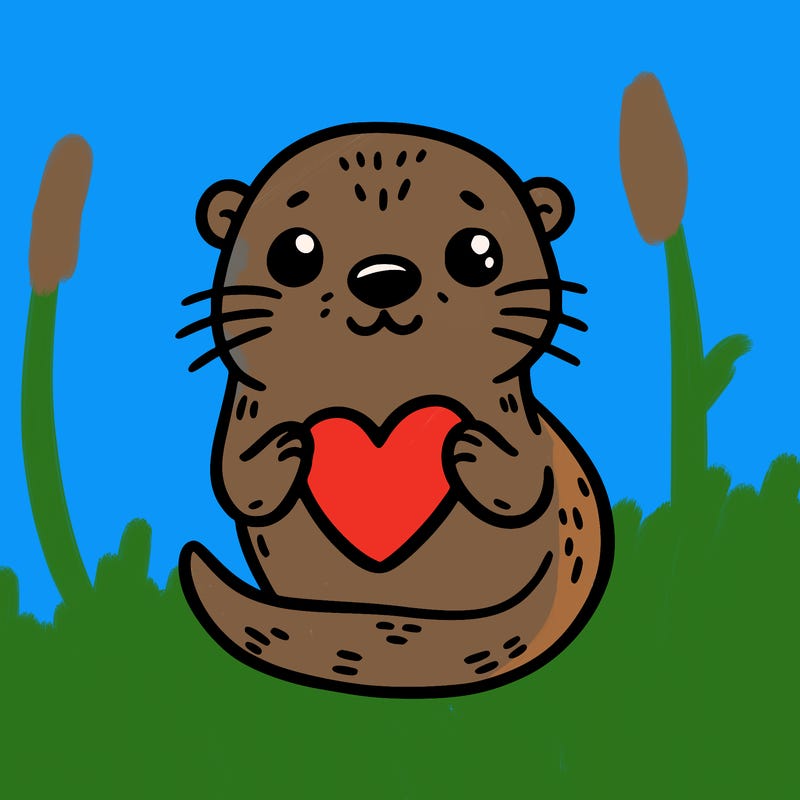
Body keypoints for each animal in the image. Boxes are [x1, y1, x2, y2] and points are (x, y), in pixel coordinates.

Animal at [177, 123, 614, 697]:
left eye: (479, 253)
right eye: (293, 254)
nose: (384, 276)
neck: (381, 392)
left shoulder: (510, 403)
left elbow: (519, 484)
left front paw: (466, 445)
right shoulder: (248, 400)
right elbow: (240, 481)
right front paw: (292, 445)